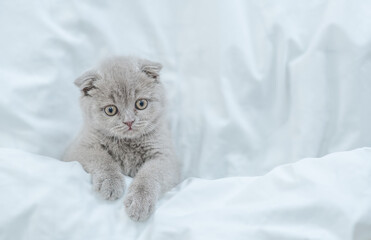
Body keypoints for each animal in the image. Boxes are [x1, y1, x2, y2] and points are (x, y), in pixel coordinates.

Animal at [63, 56, 182, 221]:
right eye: (110, 110)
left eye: (141, 103)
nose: (129, 121)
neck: (128, 143)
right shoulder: (78, 149)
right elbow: (102, 158)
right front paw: (111, 183)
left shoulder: (166, 157)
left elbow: (150, 174)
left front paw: (140, 202)